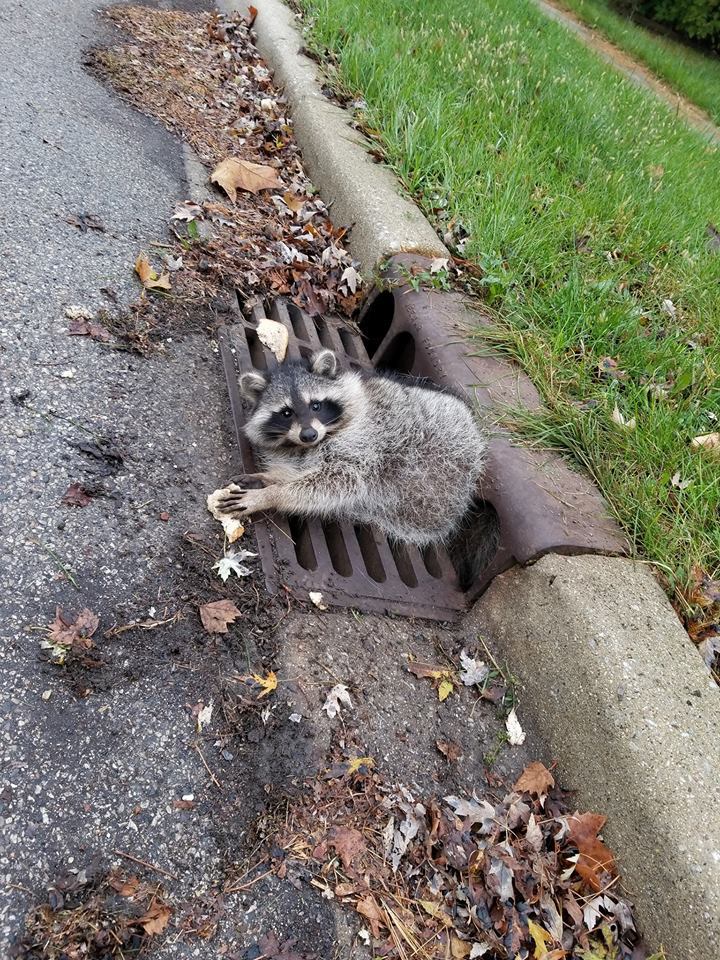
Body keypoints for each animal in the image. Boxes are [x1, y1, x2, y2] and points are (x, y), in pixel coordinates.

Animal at [217, 348, 492, 576]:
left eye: (315, 405)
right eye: (286, 413)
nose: (309, 434)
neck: (313, 443)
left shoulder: (365, 444)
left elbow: (340, 481)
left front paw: (271, 494)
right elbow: (305, 470)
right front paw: (269, 478)